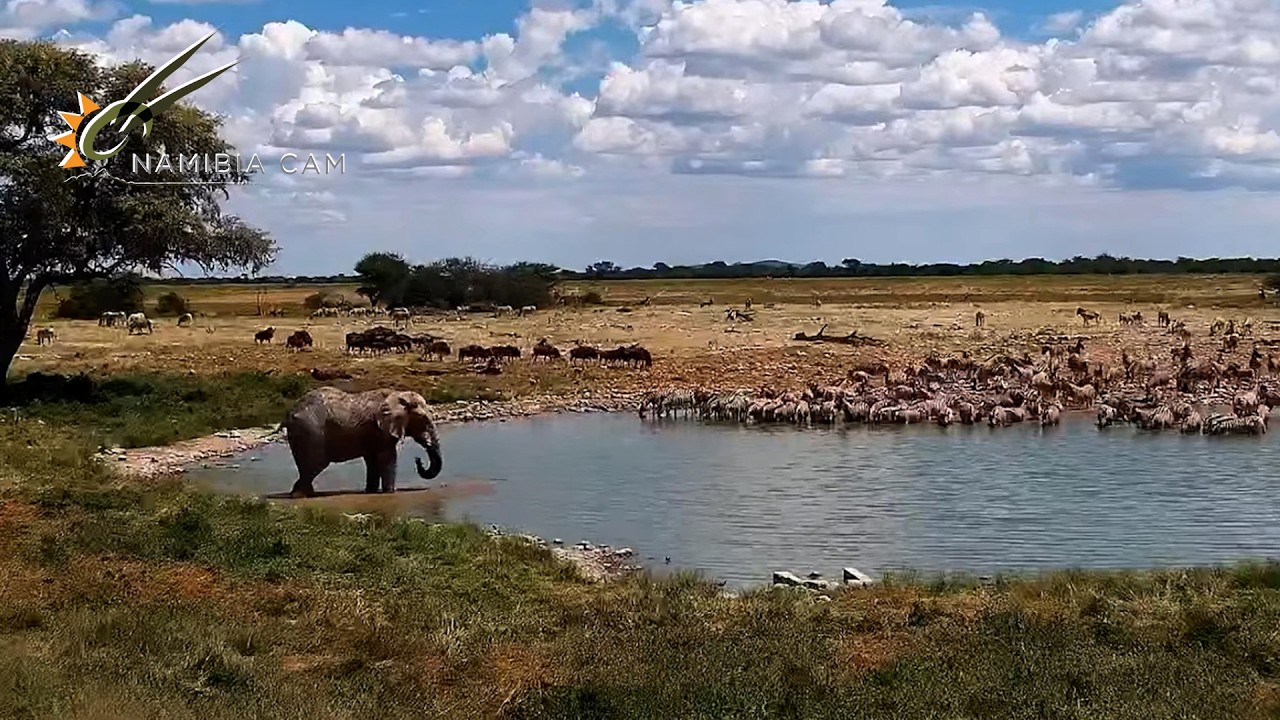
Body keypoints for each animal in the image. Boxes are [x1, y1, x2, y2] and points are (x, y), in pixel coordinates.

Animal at [282, 387, 442, 498]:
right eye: (423, 419)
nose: (418, 460)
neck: (398, 395)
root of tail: (289, 413)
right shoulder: (381, 430)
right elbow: (387, 458)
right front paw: (390, 492)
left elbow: (372, 461)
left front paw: (371, 491)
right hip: (311, 433)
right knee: (316, 465)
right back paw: (299, 495)